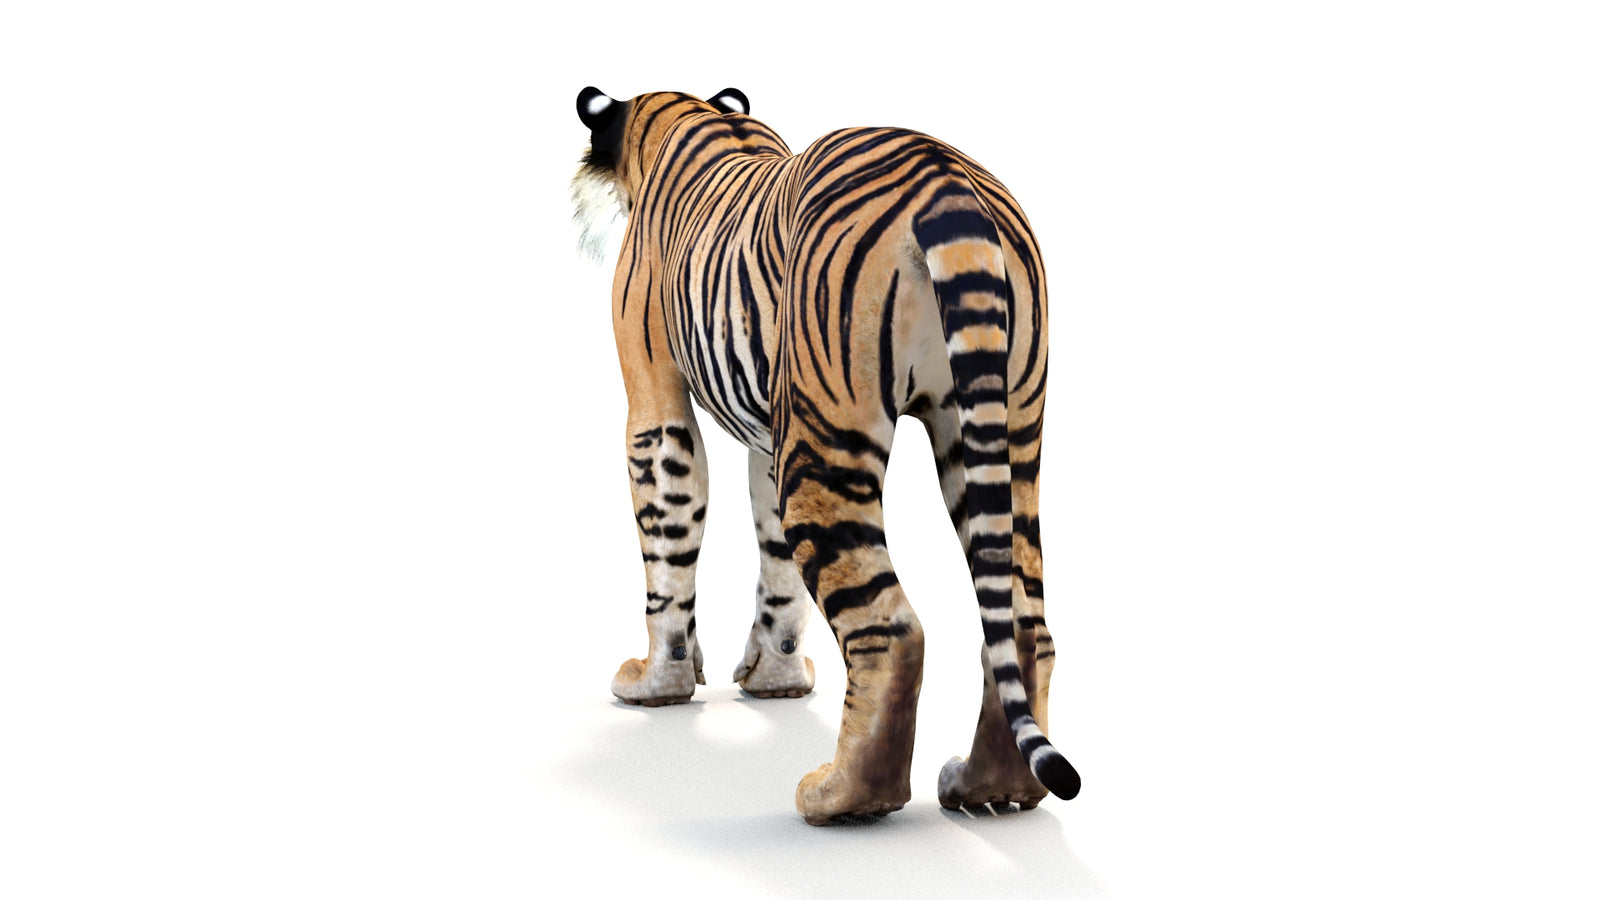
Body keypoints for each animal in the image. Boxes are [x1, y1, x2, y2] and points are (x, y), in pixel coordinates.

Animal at [571, 86, 1080, 825]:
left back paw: (841, 797)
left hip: (830, 434)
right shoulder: (770, 429)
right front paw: (775, 678)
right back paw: (989, 790)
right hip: (1002, 430)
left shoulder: (658, 404)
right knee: (1024, 624)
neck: (690, 115)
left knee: (891, 630)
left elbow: (668, 545)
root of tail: (948, 180)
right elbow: (774, 558)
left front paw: (658, 683)